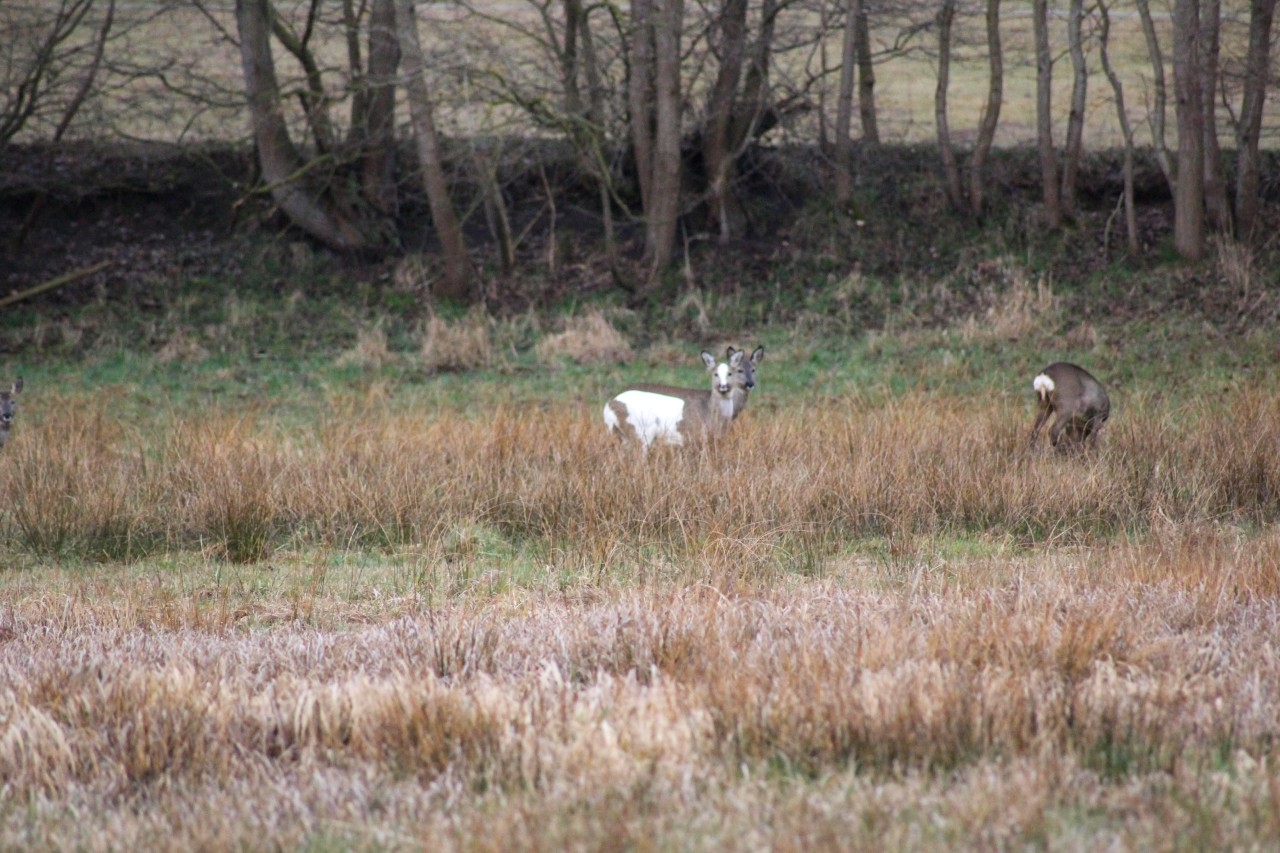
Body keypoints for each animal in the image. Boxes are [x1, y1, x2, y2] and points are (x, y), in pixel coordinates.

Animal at [604, 345, 762, 450]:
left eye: (753, 370)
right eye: (739, 370)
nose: (750, 384)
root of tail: (609, 406)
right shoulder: (692, 437)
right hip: (640, 434)